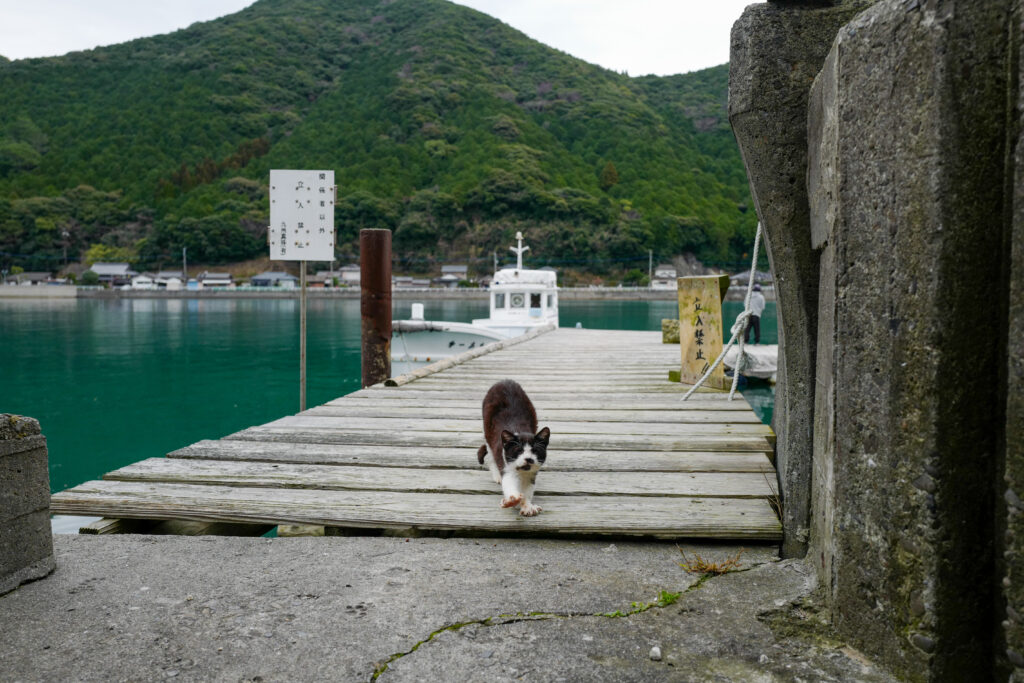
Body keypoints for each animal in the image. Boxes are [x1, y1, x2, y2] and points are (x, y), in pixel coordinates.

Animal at [473, 378, 548, 518]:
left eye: (535, 451)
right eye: (519, 451)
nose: (528, 459)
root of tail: (504, 380)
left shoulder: (531, 474)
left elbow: (528, 490)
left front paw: (527, 506)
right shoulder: (507, 466)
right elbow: (509, 483)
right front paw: (512, 500)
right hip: (487, 430)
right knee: (491, 455)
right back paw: (497, 476)